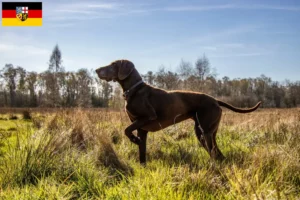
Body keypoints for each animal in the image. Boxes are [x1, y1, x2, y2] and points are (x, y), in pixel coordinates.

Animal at [96, 60, 260, 165]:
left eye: (113, 64)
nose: (96, 70)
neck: (134, 90)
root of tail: (215, 100)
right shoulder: (142, 129)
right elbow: (141, 151)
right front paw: (142, 165)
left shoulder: (148, 117)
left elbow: (126, 130)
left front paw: (134, 140)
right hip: (205, 132)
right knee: (217, 153)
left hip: (205, 132)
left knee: (213, 153)